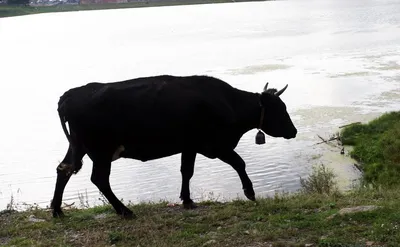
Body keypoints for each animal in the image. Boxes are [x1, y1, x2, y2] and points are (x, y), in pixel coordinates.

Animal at [50, 74, 296, 217]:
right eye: (281, 109)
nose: (293, 131)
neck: (228, 102)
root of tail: (70, 95)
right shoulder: (215, 145)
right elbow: (239, 163)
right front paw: (250, 192)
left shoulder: (190, 146)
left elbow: (186, 171)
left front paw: (187, 200)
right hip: (101, 150)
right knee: (99, 179)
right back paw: (124, 211)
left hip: (79, 146)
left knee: (63, 169)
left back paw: (57, 210)